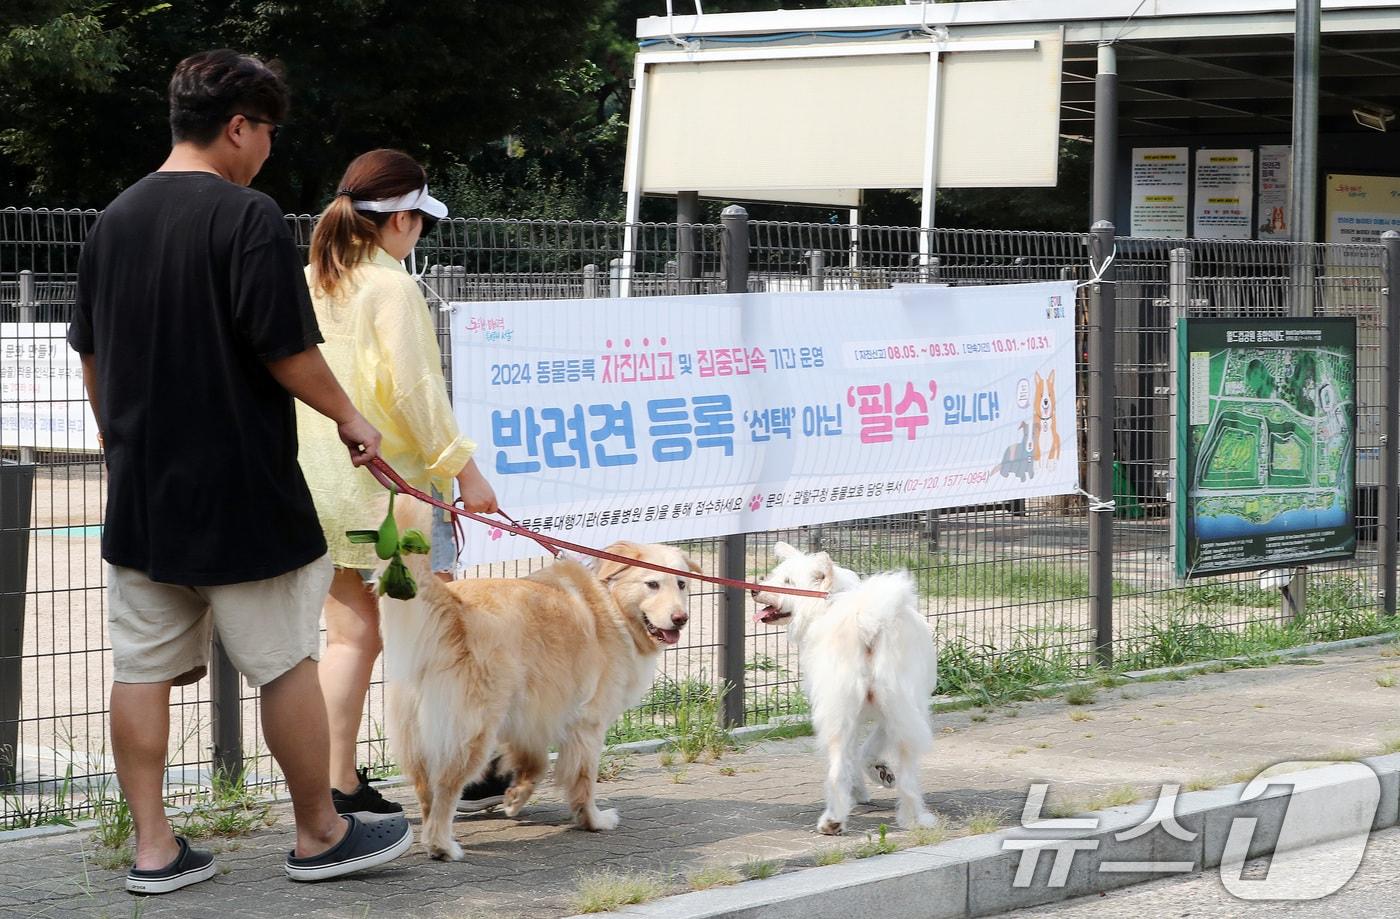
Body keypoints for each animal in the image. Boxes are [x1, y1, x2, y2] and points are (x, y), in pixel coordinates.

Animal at [750, 540, 935, 834]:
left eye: (787, 582)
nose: (754, 588)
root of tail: (868, 620)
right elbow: (863, 752)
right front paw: (877, 775)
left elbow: (857, 755)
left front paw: (871, 779)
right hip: (895, 706)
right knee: (903, 773)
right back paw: (911, 819)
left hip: (846, 708)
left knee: (839, 767)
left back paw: (835, 821)